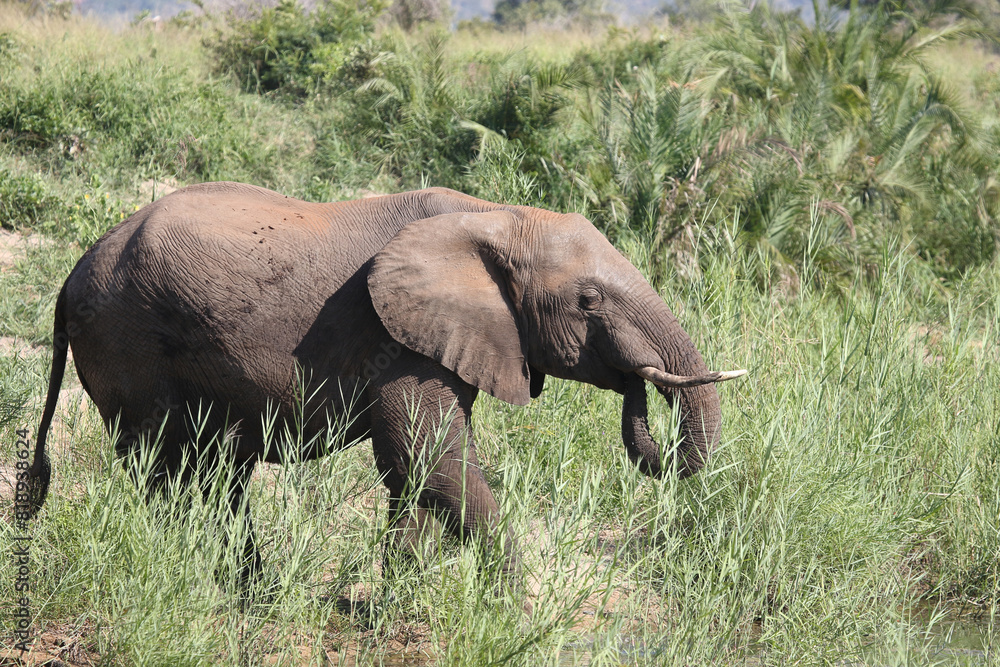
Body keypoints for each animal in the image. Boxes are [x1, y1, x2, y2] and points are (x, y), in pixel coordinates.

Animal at [26, 182, 744, 585]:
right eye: (588, 301)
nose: (636, 379)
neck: (492, 216)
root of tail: (68, 278)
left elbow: (417, 469)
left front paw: (396, 599)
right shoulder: (395, 335)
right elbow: (428, 454)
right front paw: (517, 605)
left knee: (219, 469)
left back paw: (251, 589)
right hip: (128, 341)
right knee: (168, 467)